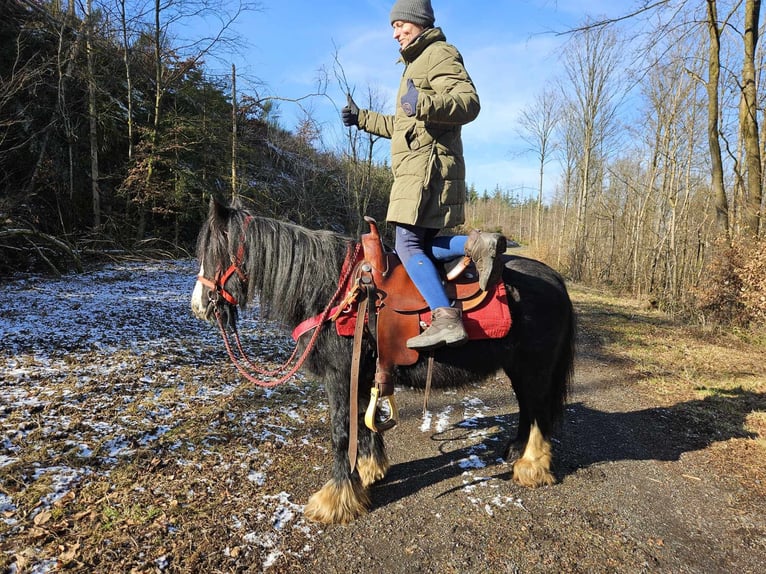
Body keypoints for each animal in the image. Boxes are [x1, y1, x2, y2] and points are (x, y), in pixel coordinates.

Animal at [190, 200, 576, 528]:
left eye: (214, 254)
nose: (200, 306)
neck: (334, 292)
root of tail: (555, 280)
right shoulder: (361, 375)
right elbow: (365, 424)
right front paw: (368, 471)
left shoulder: (339, 376)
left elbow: (341, 432)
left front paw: (335, 499)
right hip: (519, 369)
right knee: (528, 407)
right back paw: (516, 450)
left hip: (535, 368)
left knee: (539, 411)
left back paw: (532, 466)